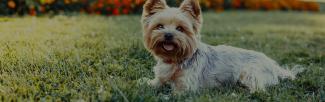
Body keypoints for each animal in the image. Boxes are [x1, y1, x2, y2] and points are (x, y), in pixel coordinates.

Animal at [140, 0, 304, 93]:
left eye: (180, 28)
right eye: (159, 26)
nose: (168, 35)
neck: (175, 58)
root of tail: (273, 65)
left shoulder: (186, 87)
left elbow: (175, 92)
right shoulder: (161, 77)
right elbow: (156, 82)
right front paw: (145, 82)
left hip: (249, 72)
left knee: (259, 90)